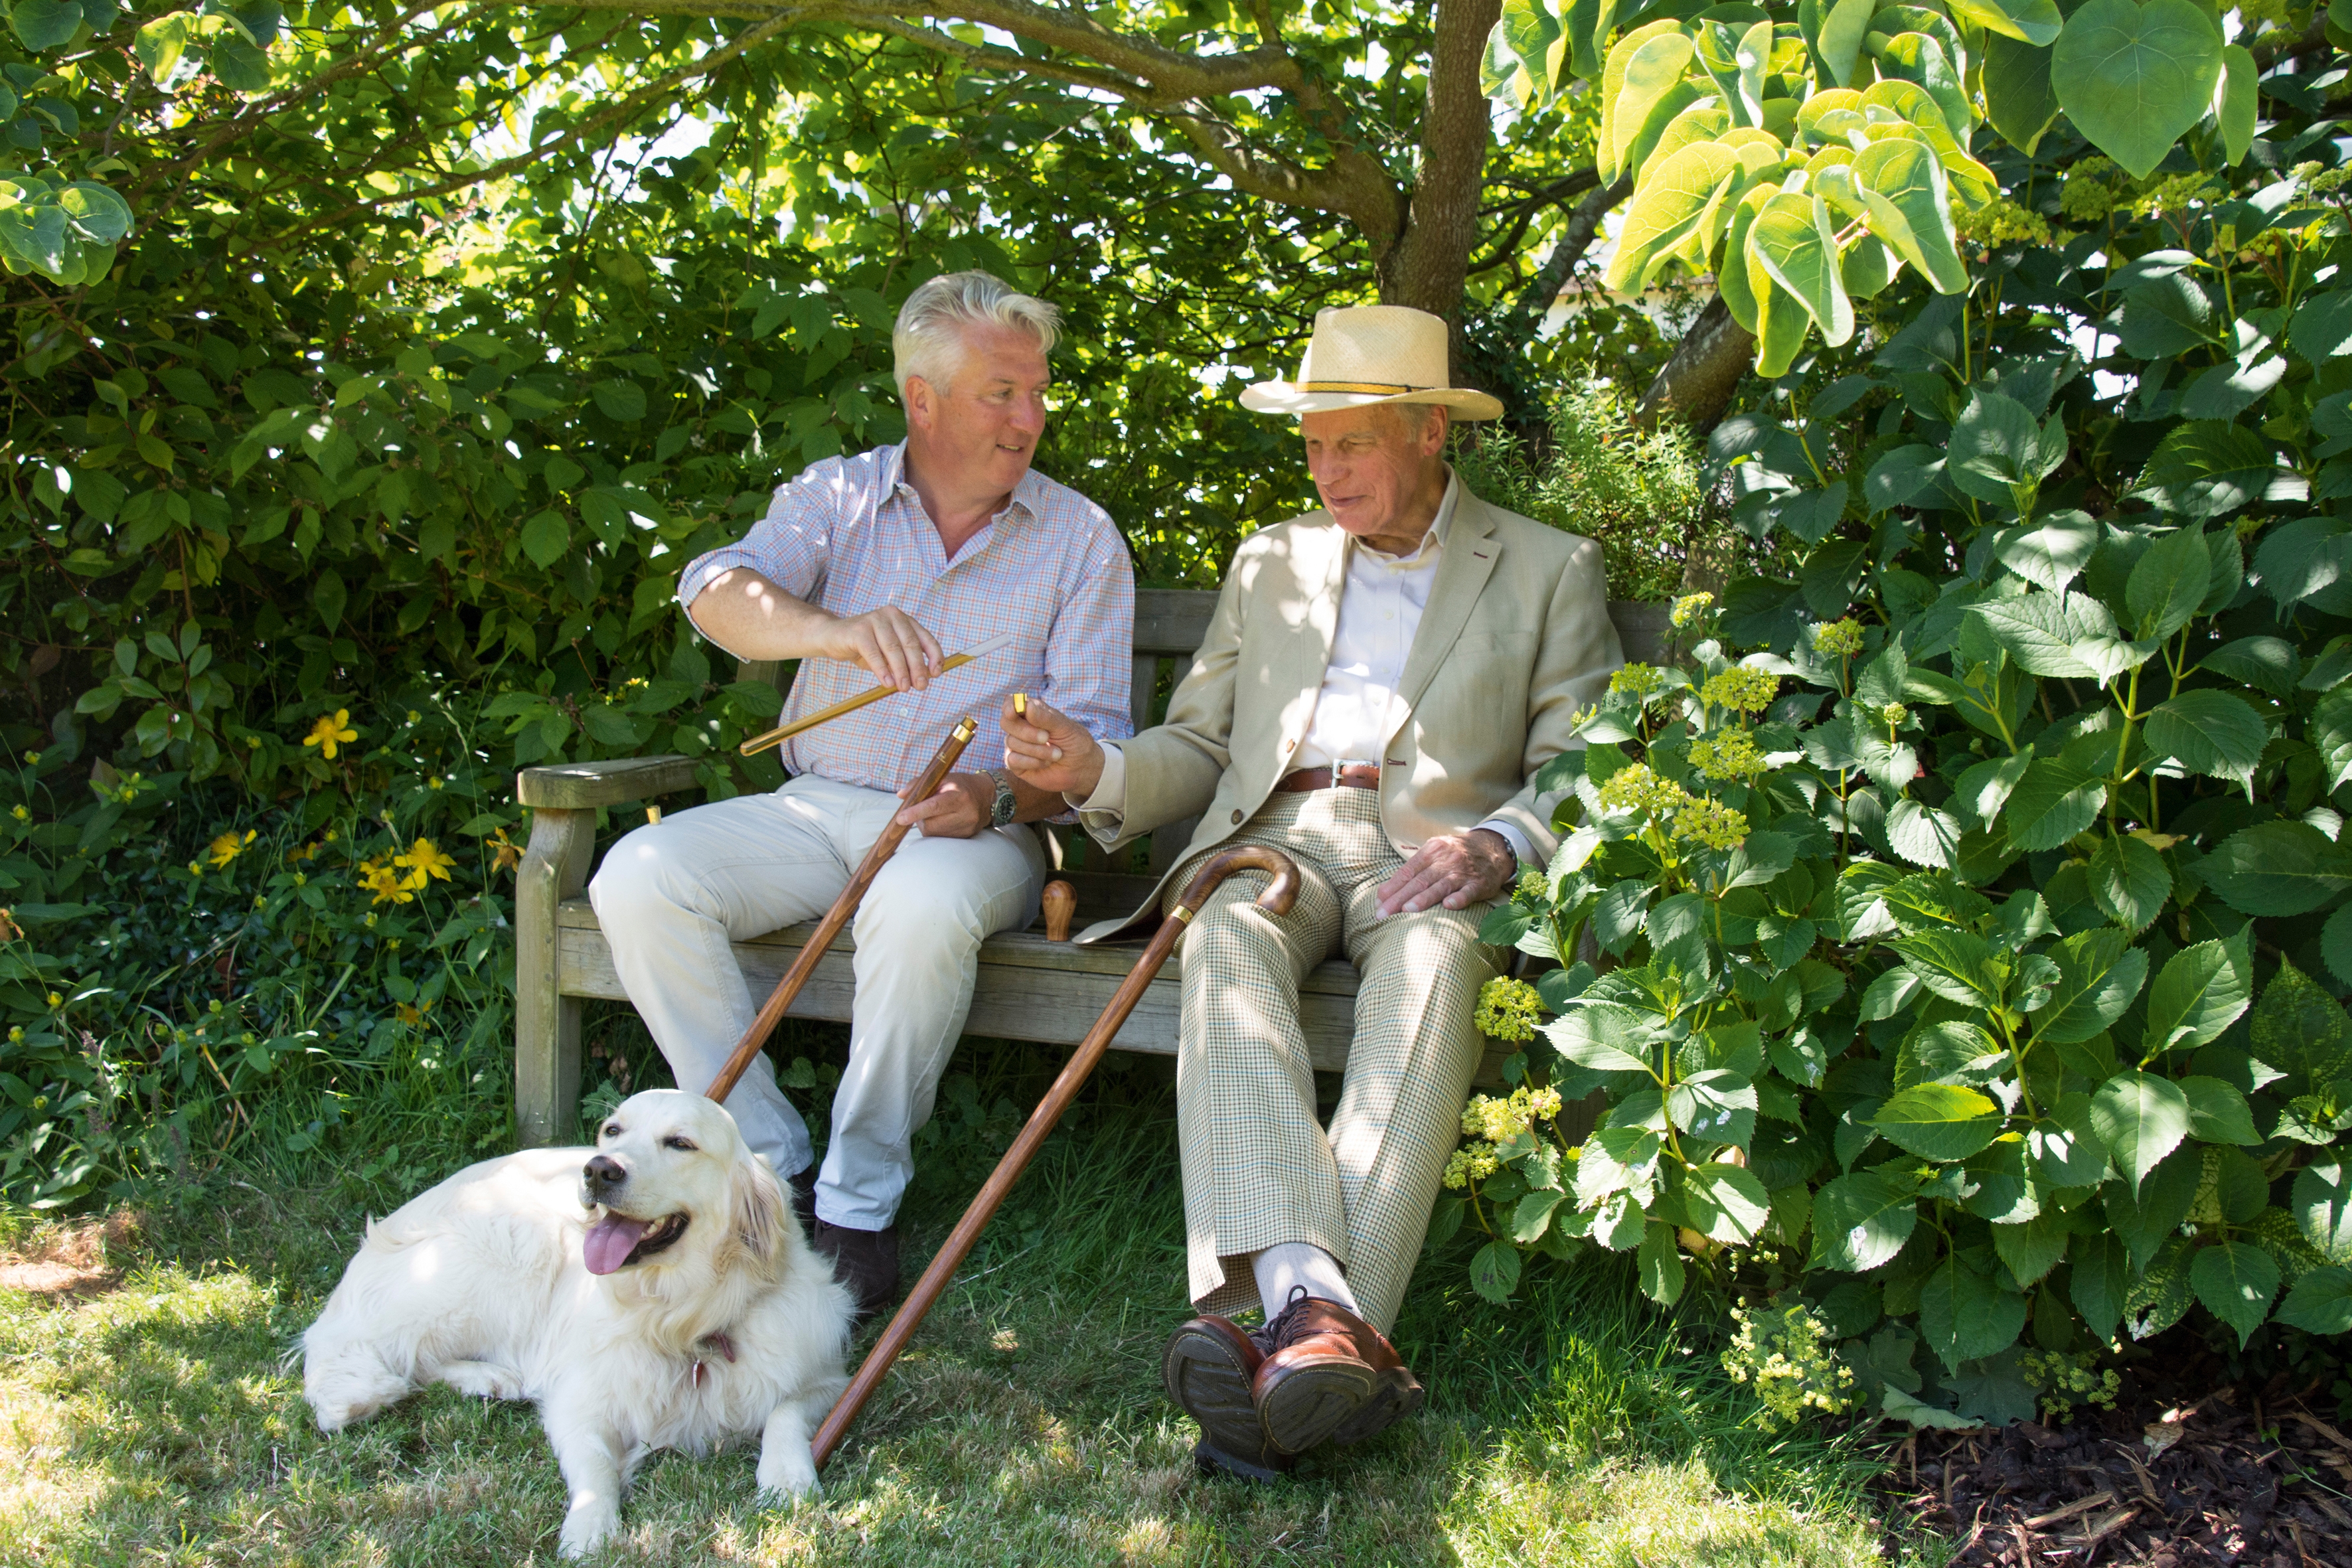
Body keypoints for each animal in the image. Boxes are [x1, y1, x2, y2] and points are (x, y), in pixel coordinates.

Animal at [301, 1091, 856, 1561]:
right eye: (612, 1130)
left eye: (680, 1143)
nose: (599, 1170)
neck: (679, 1317)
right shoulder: (579, 1404)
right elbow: (595, 1469)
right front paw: (589, 1530)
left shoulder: (827, 1379)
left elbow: (784, 1413)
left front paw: (786, 1478)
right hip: (507, 1255)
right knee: (393, 1357)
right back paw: (486, 1377)